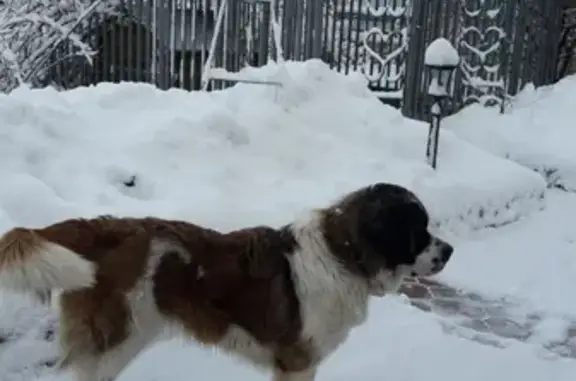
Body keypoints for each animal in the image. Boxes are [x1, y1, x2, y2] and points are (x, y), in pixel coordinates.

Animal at [0, 183, 454, 378]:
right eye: (418, 230)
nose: (449, 251)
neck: (343, 255)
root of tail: (99, 227)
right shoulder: (297, 362)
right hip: (115, 342)